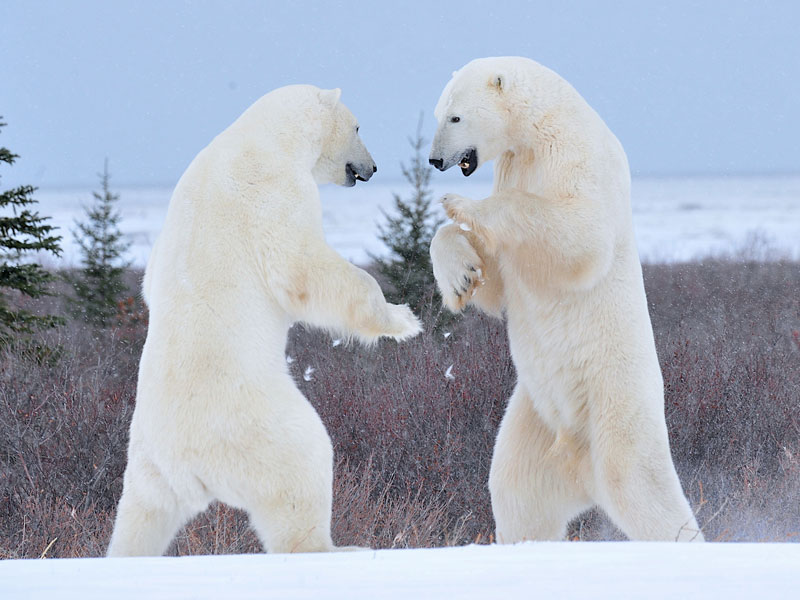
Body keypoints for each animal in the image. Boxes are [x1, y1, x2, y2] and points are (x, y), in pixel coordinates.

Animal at [108, 85, 422, 556]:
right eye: (358, 126)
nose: (371, 167)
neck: (265, 136)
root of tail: (190, 466)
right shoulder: (273, 189)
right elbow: (302, 265)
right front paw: (403, 319)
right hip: (260, 426)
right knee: (304, 465)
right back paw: (340, 547)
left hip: (148, 463)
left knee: (140, 516)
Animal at [428, 57, 704, 544]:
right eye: (439, 114)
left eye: (455, 117)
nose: (435, 159)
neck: (541, 124)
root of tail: (580, 464)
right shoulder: (516, 163)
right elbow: (497, 277)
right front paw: (461, 275)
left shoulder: (575, 154)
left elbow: (578, 233)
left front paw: (461, 203)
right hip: (536, 417)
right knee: (517, 492)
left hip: (614, 402)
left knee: (638, 484)